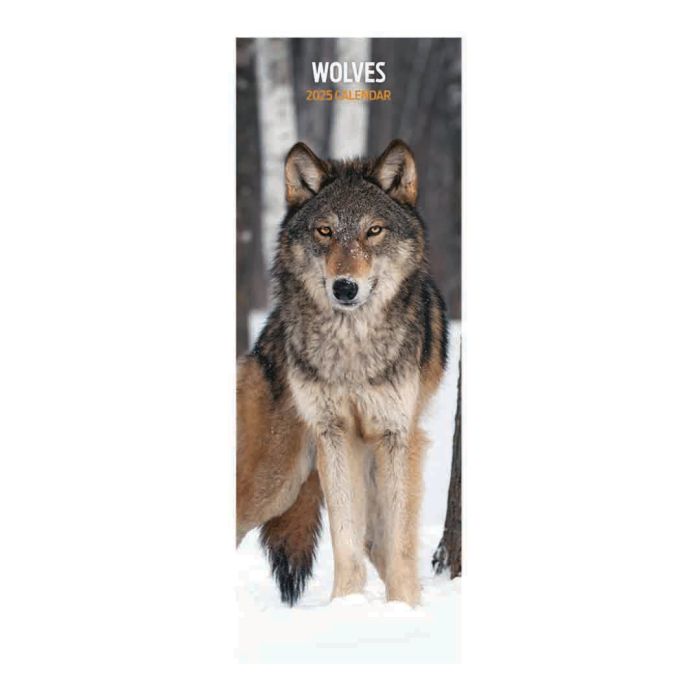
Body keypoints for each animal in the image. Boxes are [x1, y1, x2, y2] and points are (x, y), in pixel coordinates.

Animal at [236, 139, 448, 607]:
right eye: (325, 232)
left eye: (374, 231)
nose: (345, 287)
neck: (352, 348)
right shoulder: (334, 435)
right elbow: (344, 538)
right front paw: (344, 605)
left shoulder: (397, 435)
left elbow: (397, 542)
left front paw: (401, 607)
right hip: (275, 480)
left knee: (379, 540)